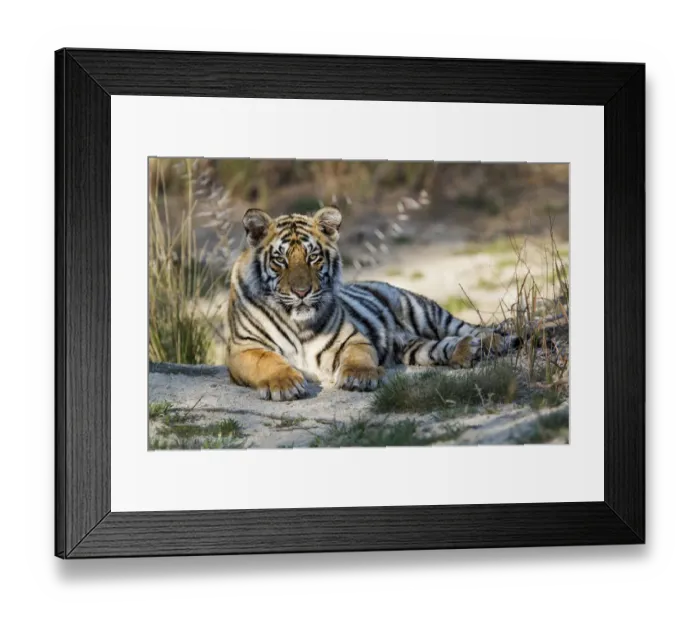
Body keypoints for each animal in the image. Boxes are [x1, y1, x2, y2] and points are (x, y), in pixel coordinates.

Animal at [226, 206, 511, 401]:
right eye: (280, 260)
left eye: (313, 258)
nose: (301, 292)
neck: (296, 320)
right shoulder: (244, 348)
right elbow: (267, 360)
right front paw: (285, 384)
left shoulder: (352, 338)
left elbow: (357, 357)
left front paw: (359, 377)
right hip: (412, 348)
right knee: (438, 346)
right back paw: (467, 350)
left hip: (426, 313)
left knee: (472, 327)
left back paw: (494, 341)